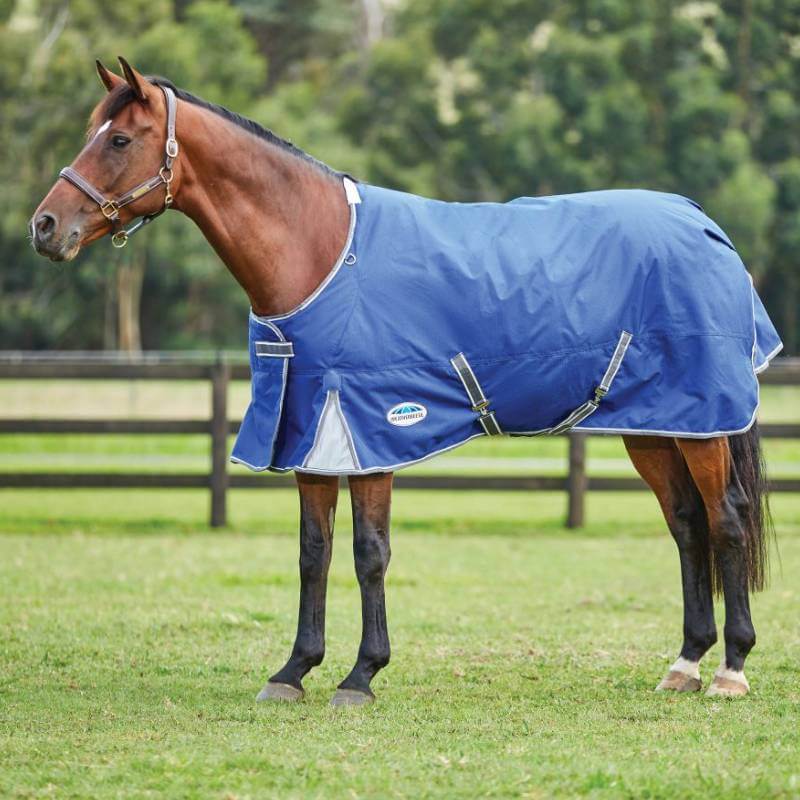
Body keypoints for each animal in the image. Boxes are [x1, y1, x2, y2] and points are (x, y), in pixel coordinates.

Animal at [30, 58, 780, 706]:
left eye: (119, 138)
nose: (45, 227)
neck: (321, 252)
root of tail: (703, 223)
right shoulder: (310, 431)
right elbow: (312, 554)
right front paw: (293, 671)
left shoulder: (371, 429)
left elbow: (369, 554)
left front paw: (361, 676)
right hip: (655, 424)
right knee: (686, 524)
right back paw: (685, 663)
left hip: (702, 423)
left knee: (726, 520)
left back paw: (731, 670)